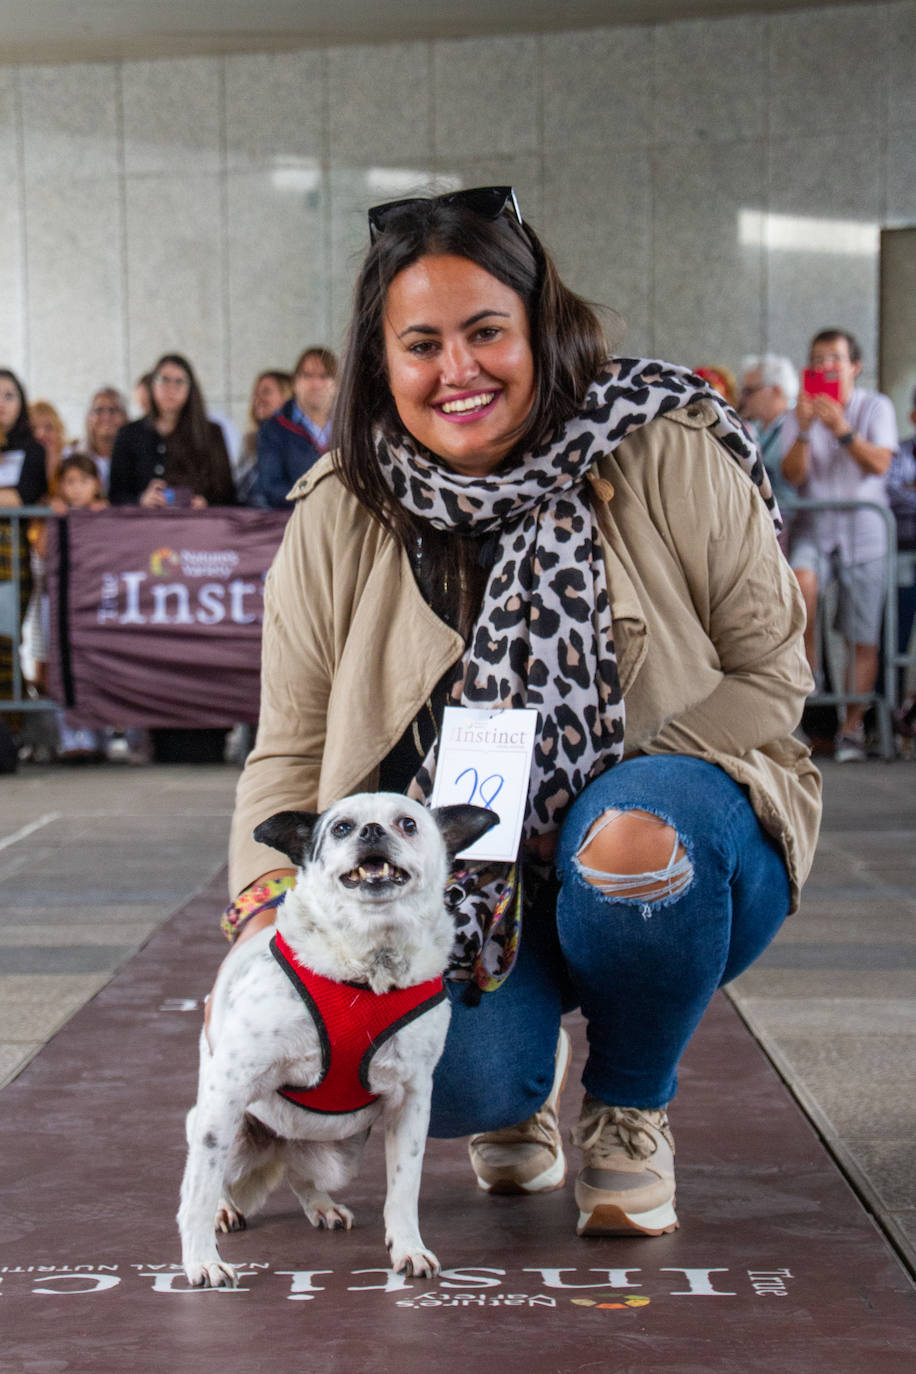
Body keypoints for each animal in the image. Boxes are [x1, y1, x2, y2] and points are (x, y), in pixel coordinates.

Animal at [178, 796, 494, 1286]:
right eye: (341, 828)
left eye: (408, 824)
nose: (371, 831)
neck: (369, 966)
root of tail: (284, 1145)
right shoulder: (229, 1090)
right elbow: (199, 1189)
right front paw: (201, 1260)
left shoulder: (412, 1101)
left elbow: (404, 1187)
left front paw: (409, 1248)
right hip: (228, 1130)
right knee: (214, 1175)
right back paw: (225, 1211)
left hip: (341, 1153)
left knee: (302, 1177)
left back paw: (322, 1206)